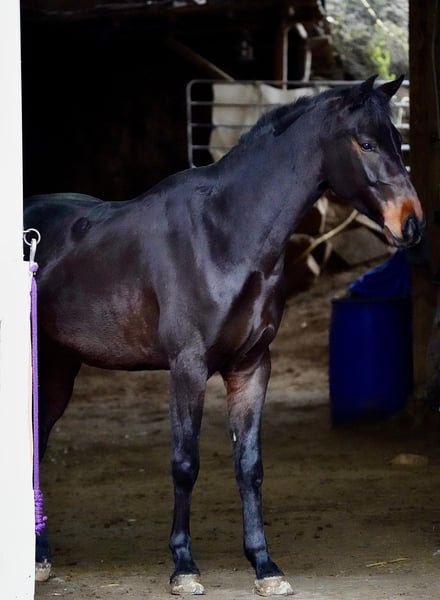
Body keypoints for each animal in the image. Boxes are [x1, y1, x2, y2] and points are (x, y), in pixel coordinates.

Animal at [24, 75, 423, 596]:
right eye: (367, 143)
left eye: (397, 139)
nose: (412, 223)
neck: (223, 233)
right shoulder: (187, 367)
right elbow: (185, 464)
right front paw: (184, 567)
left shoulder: (251, 367)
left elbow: (249, 466)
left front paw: (265, 567)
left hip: (56, 367)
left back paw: (40, 556)